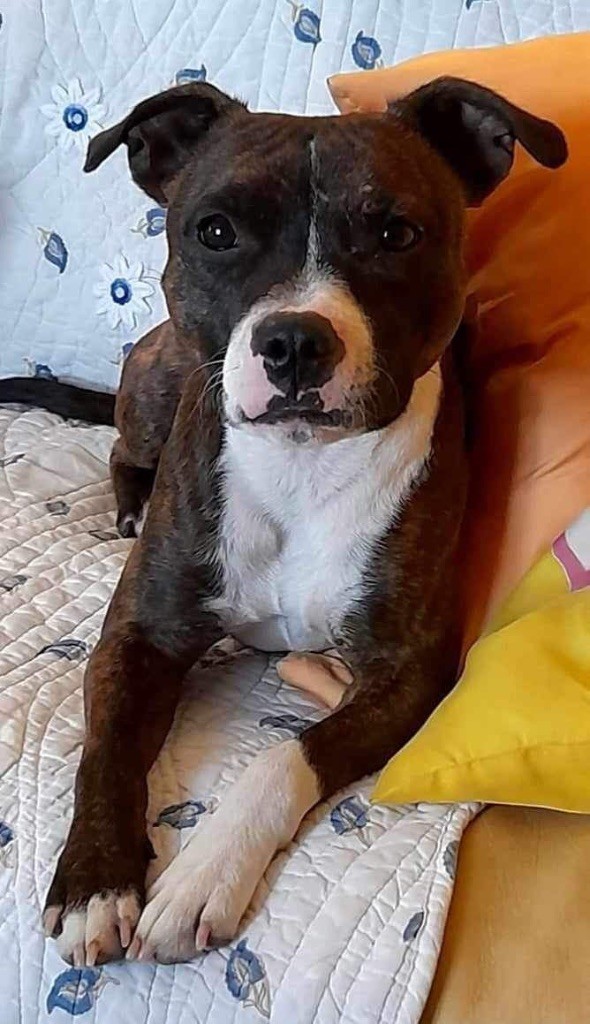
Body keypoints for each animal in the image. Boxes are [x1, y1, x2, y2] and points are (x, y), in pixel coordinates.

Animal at [0, 79, 566, 966]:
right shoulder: (137, 636)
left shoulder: (409, 677)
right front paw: (94, 882)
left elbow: (286, 752)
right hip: (158, 378)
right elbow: (107, 749)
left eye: (396, 232)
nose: (295, 340)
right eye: (216, 232)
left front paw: (204, 874)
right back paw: (128, 502)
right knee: (124, 446)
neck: (301, 469)